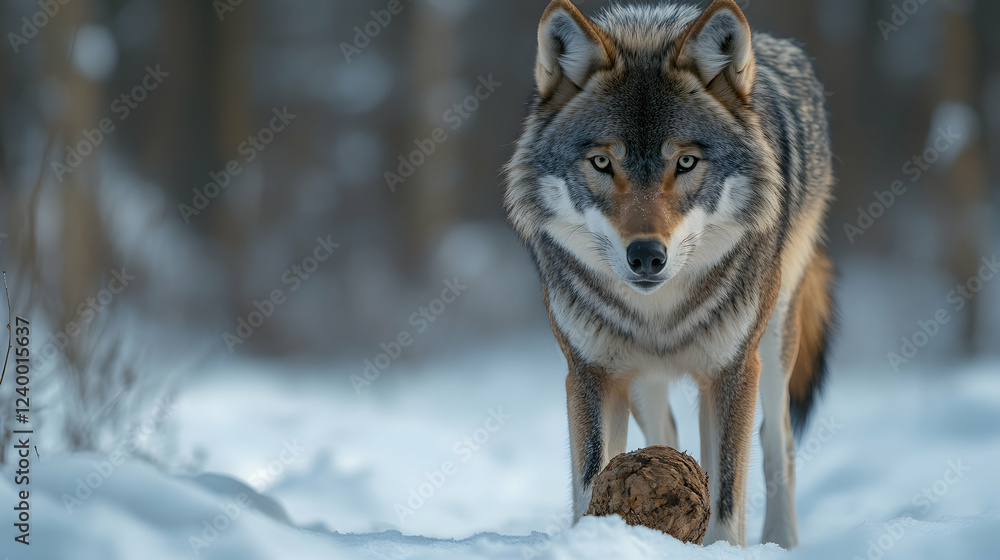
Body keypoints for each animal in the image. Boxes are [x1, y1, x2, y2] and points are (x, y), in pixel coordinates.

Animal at [503, 0, 835, 548]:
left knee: (776, 443)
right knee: (668, 435)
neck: (658, 314)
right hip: (641, 378)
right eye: (602, 162)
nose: (645, 256)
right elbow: (591, 477)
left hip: (772, 345)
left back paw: (782, 541)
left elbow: (727, 495)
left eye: (685, 162)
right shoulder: (591, 373)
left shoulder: (731, 370)